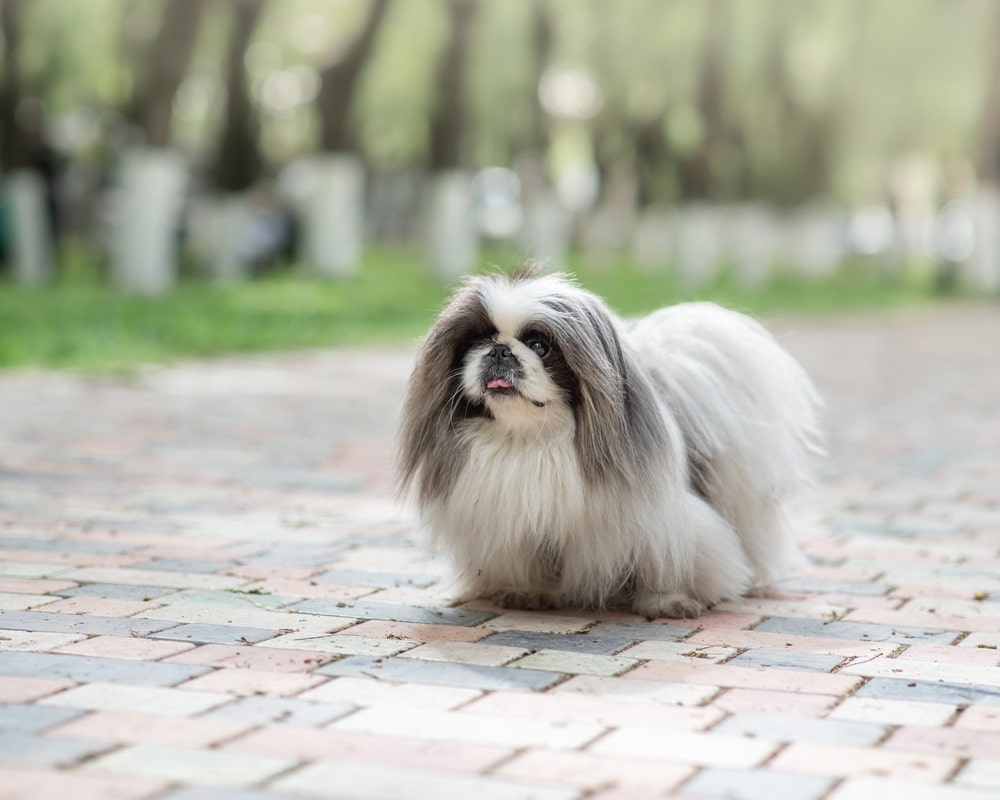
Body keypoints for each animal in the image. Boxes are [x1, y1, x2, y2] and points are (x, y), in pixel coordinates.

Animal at [396, 268, 820, 620]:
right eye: (477, 342)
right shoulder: (514, 517)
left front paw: (665, 601)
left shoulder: (659, 519)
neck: (533, 438)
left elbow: (662, 562)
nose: (499, 350)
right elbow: (527, 560)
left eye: (540, 346)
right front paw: (528, 593)